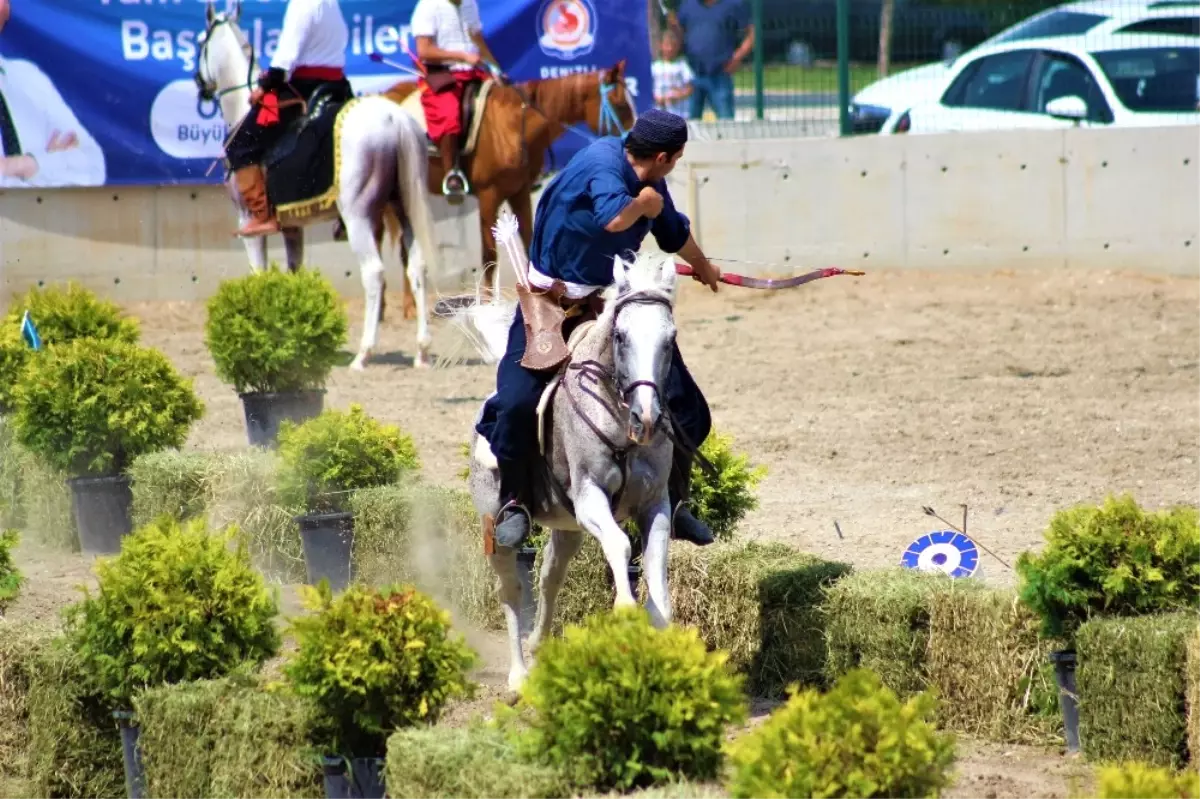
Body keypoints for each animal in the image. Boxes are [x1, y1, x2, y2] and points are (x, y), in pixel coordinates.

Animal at [196, 0, 441, 367]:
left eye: (201, 44)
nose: (200, 85)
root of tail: (393, 117)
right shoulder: (291, 227)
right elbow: (294, 272)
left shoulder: (248, 223)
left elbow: (260, 273)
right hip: (403, 207)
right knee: (418, 267)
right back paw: (422, 350)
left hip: (358, 218)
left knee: (374, 273)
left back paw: (364, 354)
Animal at [376, 59, 638, 316]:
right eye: (621, 105)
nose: (632, 143)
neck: (511, 125)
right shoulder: (488, 196)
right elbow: (489, 254)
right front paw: (489, 303)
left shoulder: (519, 193)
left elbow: (530, 244)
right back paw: (406, 307)